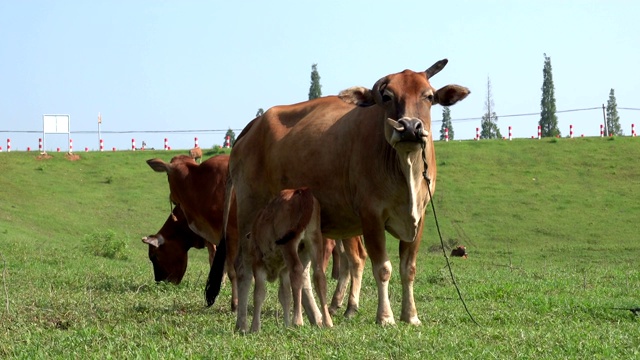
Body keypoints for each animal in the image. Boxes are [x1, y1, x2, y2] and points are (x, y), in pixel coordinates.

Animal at [248, 188, 332, 332]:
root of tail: (301, 190)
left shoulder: (258, 264)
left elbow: (259, 294)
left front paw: (254, 328)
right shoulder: (284, 271)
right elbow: (285, 295)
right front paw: (286, 324)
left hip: (289, 243)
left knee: (297, 270)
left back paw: (297, 320)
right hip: (314, 237)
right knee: (319, 274)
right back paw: (327, 321)